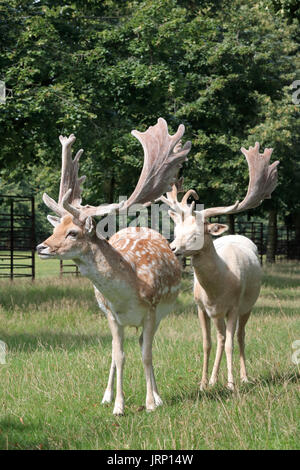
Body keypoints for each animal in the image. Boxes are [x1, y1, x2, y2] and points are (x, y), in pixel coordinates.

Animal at [36, 118, 191, 414]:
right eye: (56, 228)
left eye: (72, 232)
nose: (41, 247)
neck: (128, 293)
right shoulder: (111, 314)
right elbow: (119, 355)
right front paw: (118, 406)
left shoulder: (152, 310)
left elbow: (146, 354)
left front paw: (150, 403)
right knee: (114, 348)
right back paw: (107, 395)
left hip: (162, 312)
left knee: (144, 345)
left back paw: (157, 396)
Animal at [164, 143, 278, 390]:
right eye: (176, 230)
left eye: (196, 234)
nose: (173, 248)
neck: (217, 289)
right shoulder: (201, 307)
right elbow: (207, 343)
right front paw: (203, 383)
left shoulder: (234, 306)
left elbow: (230, 344)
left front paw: (231, 384)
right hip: (217, 315)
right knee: (221, 337)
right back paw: (214, 379)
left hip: (248, 305)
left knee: (239, 336)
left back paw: (243, 377)